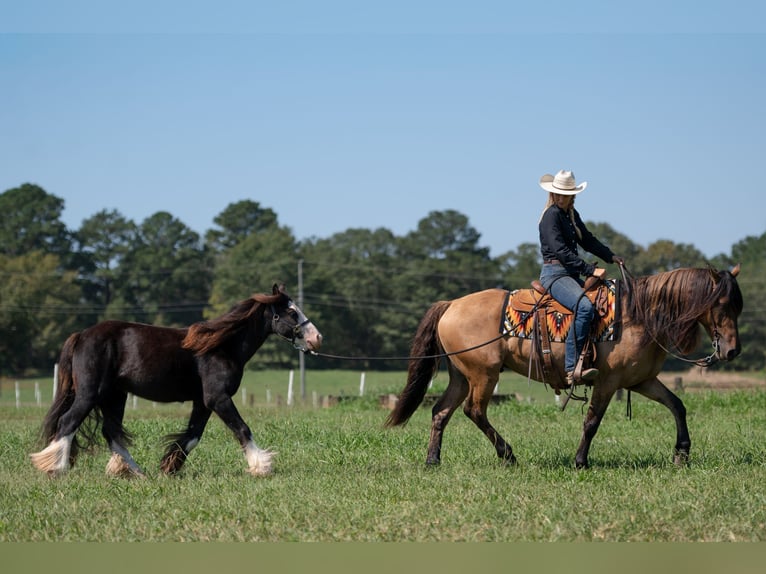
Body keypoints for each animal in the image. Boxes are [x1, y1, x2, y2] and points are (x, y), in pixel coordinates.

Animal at [30, 286, 322, 480]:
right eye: (292, 312)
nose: (316, 338)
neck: (221, 346)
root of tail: (81, 335)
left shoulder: (203, 401)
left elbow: (192, 436)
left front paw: (169, 466)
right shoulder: (217, 397)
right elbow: (242, 428)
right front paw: (261, 465)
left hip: (115, 396)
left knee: (111, 433)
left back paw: (136, 473)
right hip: (90, 394)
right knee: (68, 422)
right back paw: (54, 467)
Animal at [390, 268, 744, 470]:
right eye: (722, 304)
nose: (732, 350)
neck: (638, 314)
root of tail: (451, 304)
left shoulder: (641, 380)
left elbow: (677, 406)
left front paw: (682, 453)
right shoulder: (608, 381)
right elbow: (592, 421)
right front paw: (580, 461)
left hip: (462, 376)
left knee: (441, 411)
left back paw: (433, 460)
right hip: (483, 375)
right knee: (473, 411)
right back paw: (508, 455)